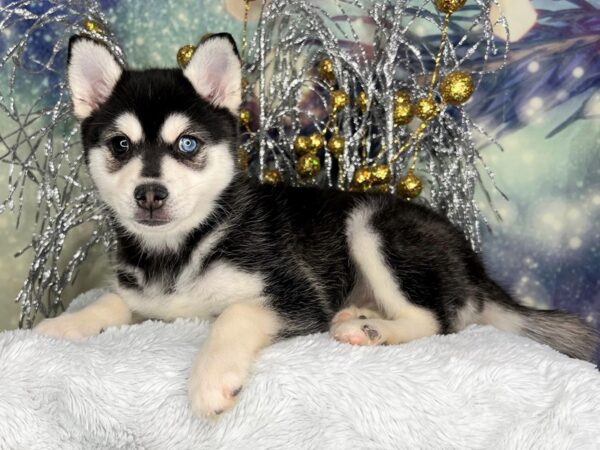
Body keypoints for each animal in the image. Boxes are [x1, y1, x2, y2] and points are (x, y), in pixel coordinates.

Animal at [36, 33, 596, 416]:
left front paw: (212, 376)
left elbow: (235, 314)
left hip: (372, 226)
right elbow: (112, 301)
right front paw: (61, 325)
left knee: (434, 322)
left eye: (188, 144)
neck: (182, 246)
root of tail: (475, 266)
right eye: (120, 145)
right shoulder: (149, 301)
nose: (150, 193)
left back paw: (368, 330)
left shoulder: (298, 297)